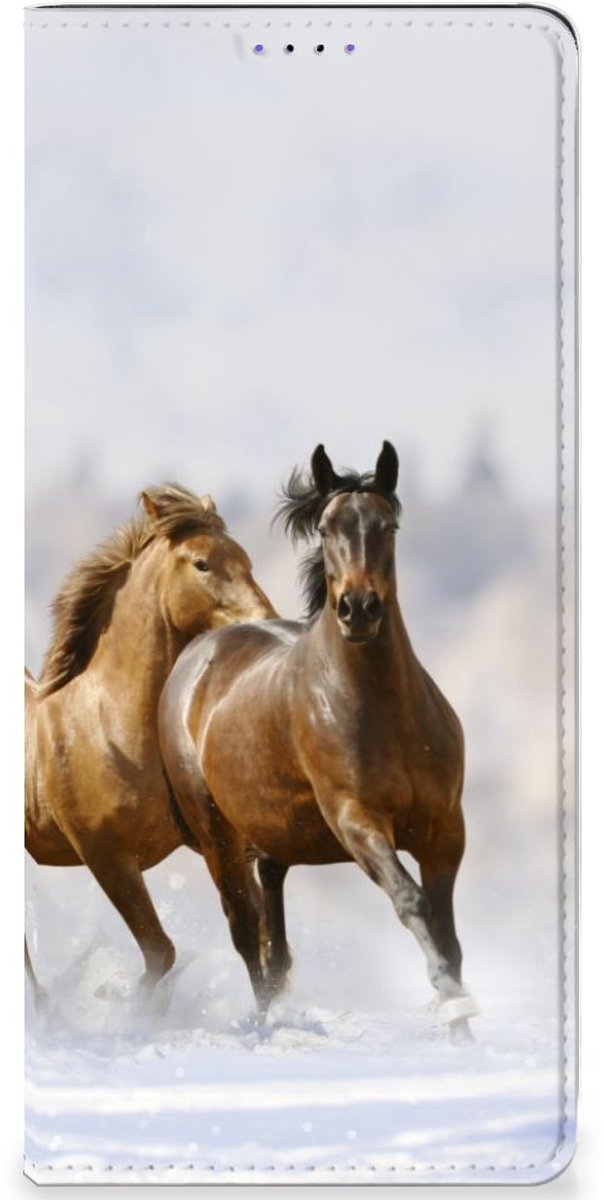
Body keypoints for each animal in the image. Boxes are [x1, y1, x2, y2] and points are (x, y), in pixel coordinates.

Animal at [25, 484, 276, 998]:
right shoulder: (107, 858)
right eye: (202, 563)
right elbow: (161, 952)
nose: (265, 620)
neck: (109, 727)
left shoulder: (216, 842)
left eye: (246, 559)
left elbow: (253, 931)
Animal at [159, 443, 477, 1040]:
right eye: (327, 529)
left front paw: (463, 1027)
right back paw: (264, 1025)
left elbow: (448, 932)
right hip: (217, 836)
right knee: (246, 931)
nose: (359, 608)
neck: (384, 712)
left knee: (273, 934)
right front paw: (451, 1003)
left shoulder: (444, 829)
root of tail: (197, 654)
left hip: (274, 835)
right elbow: (412, 901)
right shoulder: (357, 821)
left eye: (388, 526)